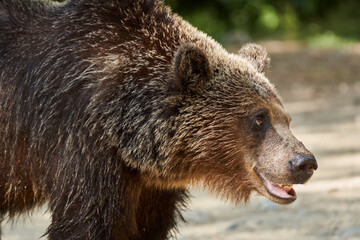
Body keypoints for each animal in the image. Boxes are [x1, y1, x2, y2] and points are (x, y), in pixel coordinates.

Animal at [0, 0, 316, 239]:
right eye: (259, 118)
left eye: (286, 118)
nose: (304, 162)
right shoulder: (78, 142)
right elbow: (83, 223)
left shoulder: (151, 188)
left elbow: (148, 227)